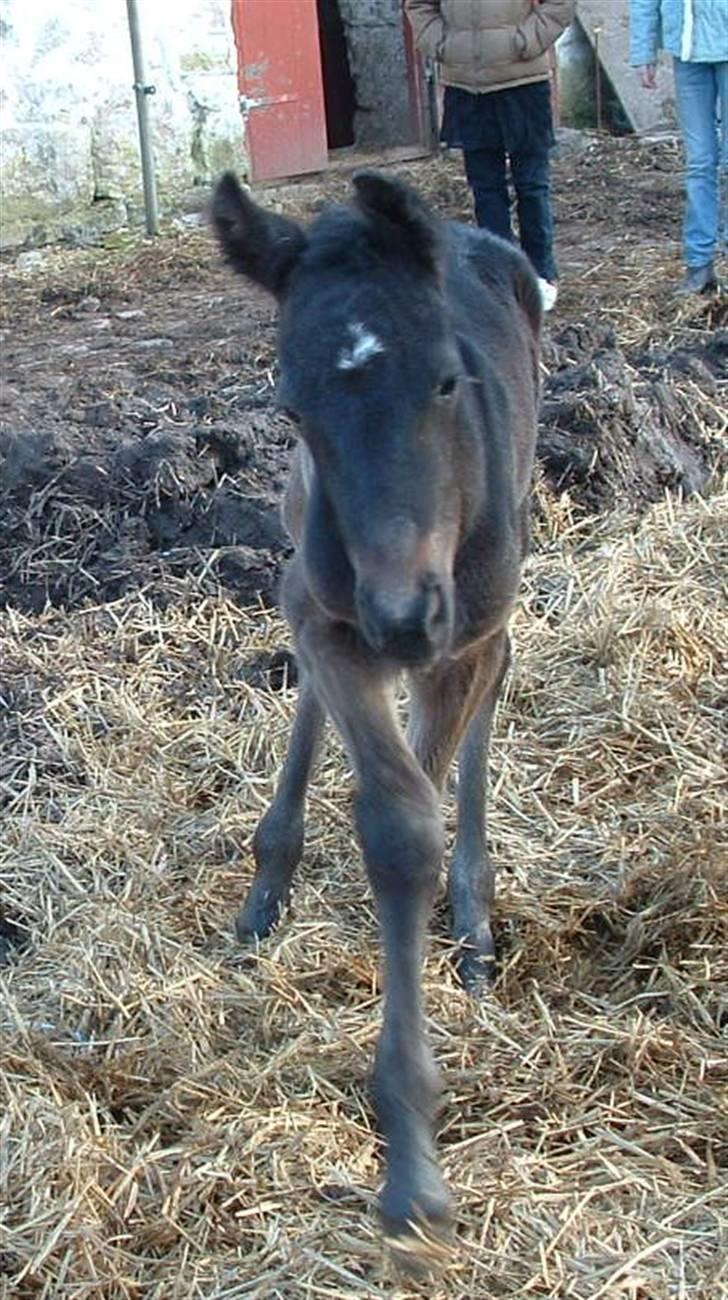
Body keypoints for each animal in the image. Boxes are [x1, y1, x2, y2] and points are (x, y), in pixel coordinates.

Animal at [210, 170, 540, 1237]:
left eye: (445, 380)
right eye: (291, 405)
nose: (399, 613)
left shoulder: (457, 631)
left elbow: (423, 805)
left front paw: (417, 1163)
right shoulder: (327, 610)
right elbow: (396, 823)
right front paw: (410, 1156)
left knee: (497, 674)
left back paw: (474, 923)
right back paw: (269, 882)